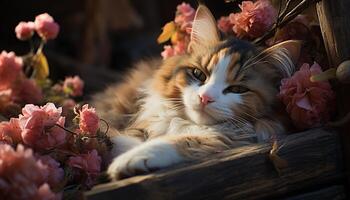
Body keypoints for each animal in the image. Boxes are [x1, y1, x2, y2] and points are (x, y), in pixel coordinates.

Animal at [91, 4, 302, 180]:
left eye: (237, 89)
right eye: (199, 74)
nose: (205, 97)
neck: (190, 123)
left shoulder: (229, 137)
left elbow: (177, 142)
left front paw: (129, 159)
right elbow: (124, 138)